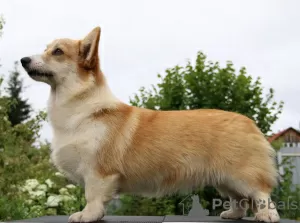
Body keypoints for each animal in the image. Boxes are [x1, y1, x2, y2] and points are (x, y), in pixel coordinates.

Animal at [20, 27, 278, 222]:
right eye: (45, 48)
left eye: (58, 52)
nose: (23, 60)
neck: (81, 107)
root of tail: (249, 122)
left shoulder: (98, 172)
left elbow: (92, 196)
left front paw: (87, 215)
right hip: (224, 179)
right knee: (239, 200)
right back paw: (233, 214)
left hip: (241, 175)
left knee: (261, 193)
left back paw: (267, 215)